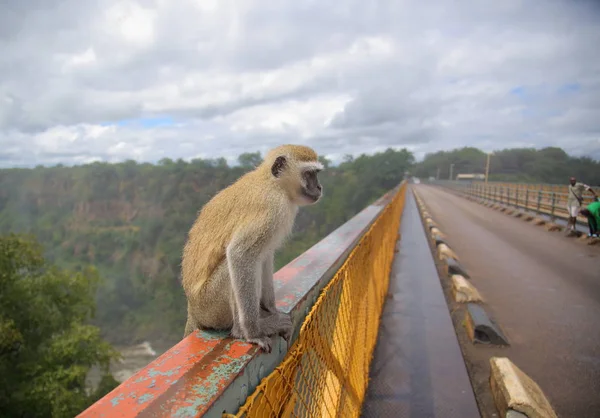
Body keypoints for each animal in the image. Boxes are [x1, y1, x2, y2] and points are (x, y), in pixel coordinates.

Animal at [182, 145, 324, 352]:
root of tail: (192, 310)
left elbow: (265, 256)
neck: (273, 183)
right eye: (309, 174)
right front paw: (253, 332)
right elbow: (240, 255)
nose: (319, 187)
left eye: (316, 174)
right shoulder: (273, 208)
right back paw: (242, 330)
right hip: (210, 307)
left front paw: (271, 308)